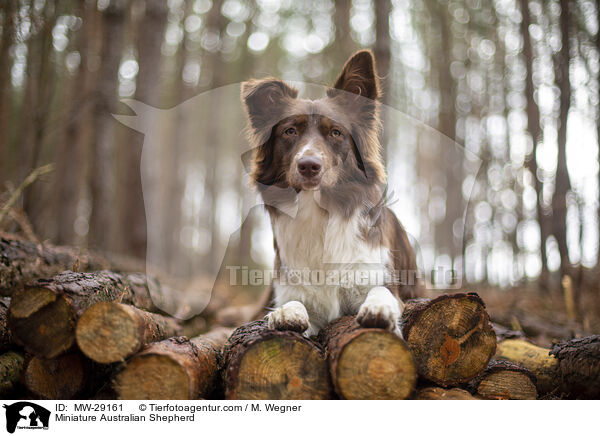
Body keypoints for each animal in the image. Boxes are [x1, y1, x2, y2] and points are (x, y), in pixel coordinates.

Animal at [239, 52, 418, 338]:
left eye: (335, 132)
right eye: (290, 131)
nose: (309, 166)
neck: (318, 211)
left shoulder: (377, 276)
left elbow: (382, 291)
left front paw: (379, 309)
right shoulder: (294, 289)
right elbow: (296, 302)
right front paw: (287, 312)